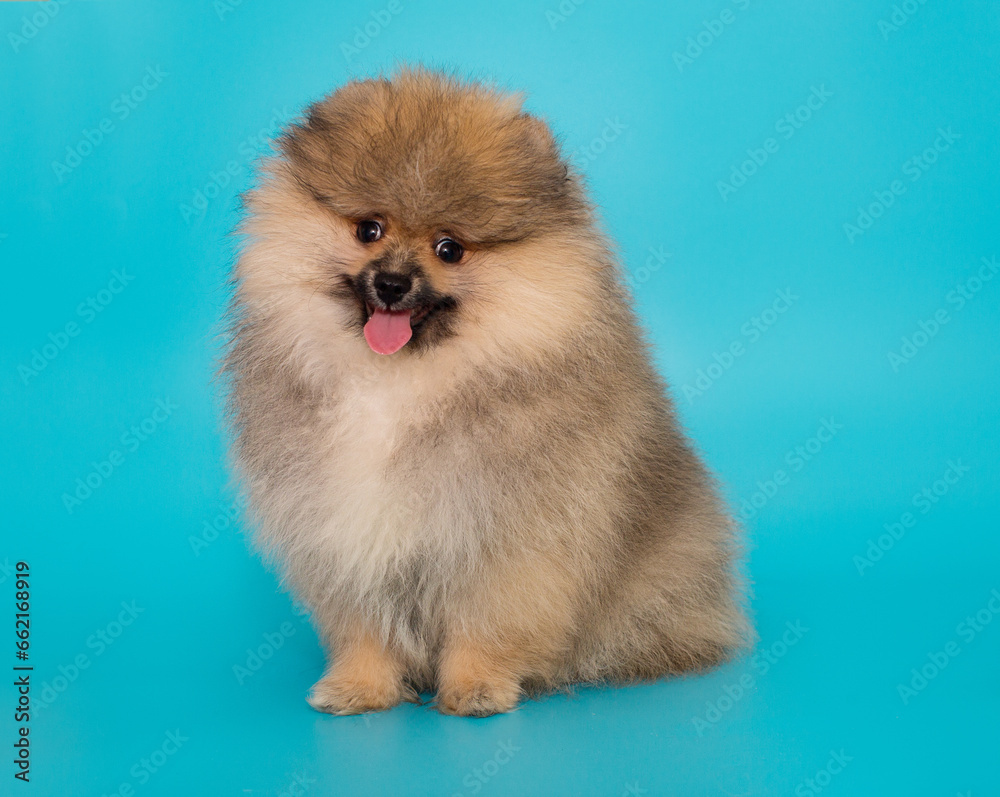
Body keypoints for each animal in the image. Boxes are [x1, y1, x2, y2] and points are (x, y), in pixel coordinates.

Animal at [223, 67, 748, 716]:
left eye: (450, 248)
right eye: (369, 229)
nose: (392, 282)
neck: (399, 381)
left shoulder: (506, 543)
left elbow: (487, 621)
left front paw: (475, 688)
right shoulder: (340, 528)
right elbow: (365, 624)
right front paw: (359, 687)